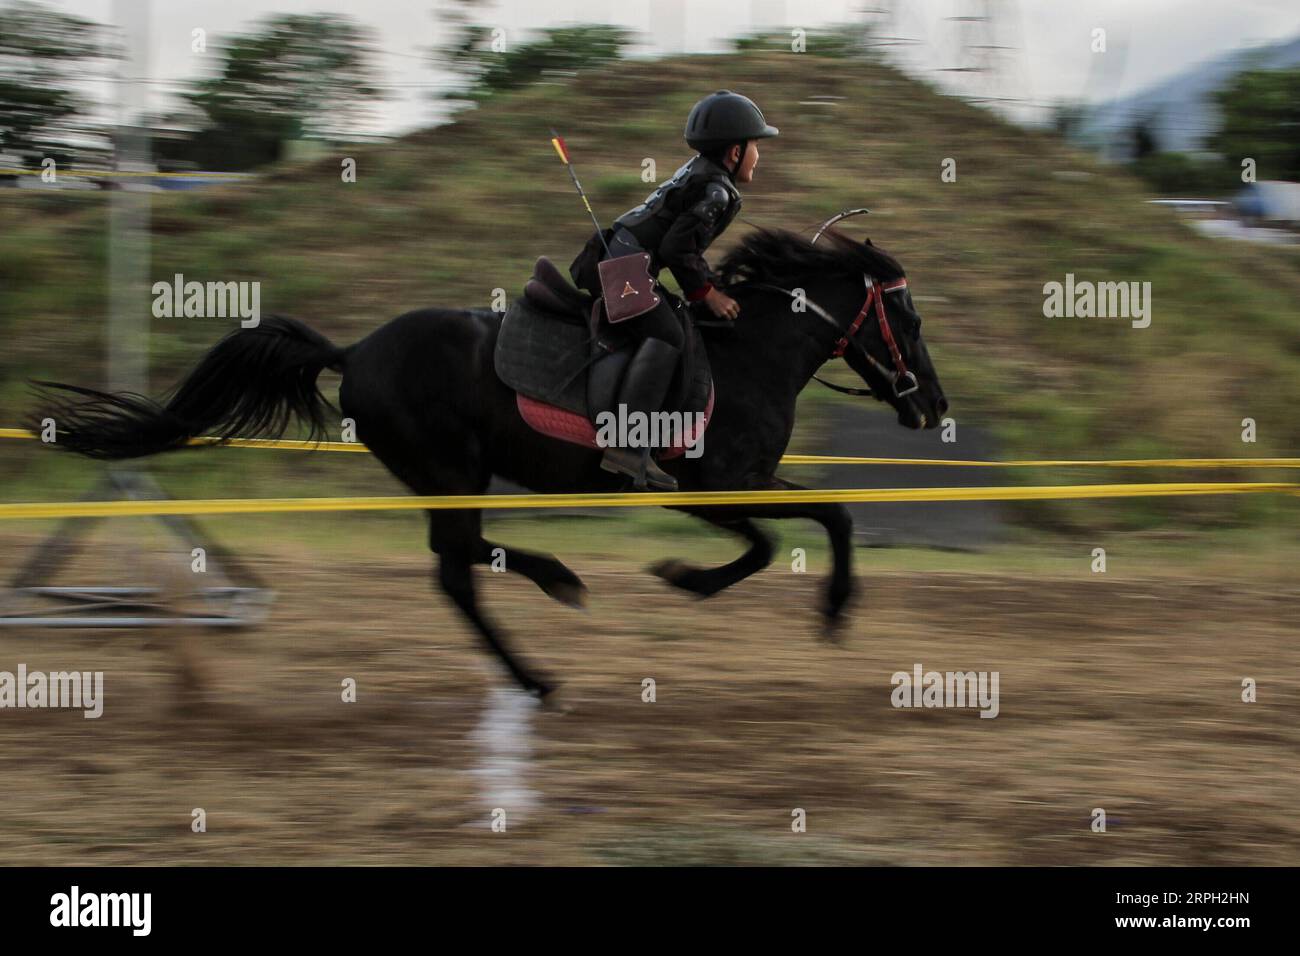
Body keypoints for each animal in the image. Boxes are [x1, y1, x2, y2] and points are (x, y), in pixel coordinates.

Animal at [32, 228, 946, 697]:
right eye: (905, 315)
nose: (931, 407)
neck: (746, 355)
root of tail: (354, 350)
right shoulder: (713, 489)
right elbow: (781, 537)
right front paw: (780, 599)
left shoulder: (740, 484)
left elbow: (821, 519)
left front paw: (720, 586)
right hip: (448, 469)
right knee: (458, 566)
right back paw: (545, 639)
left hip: (448, 475)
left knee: (461, 559)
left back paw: (546, 616)